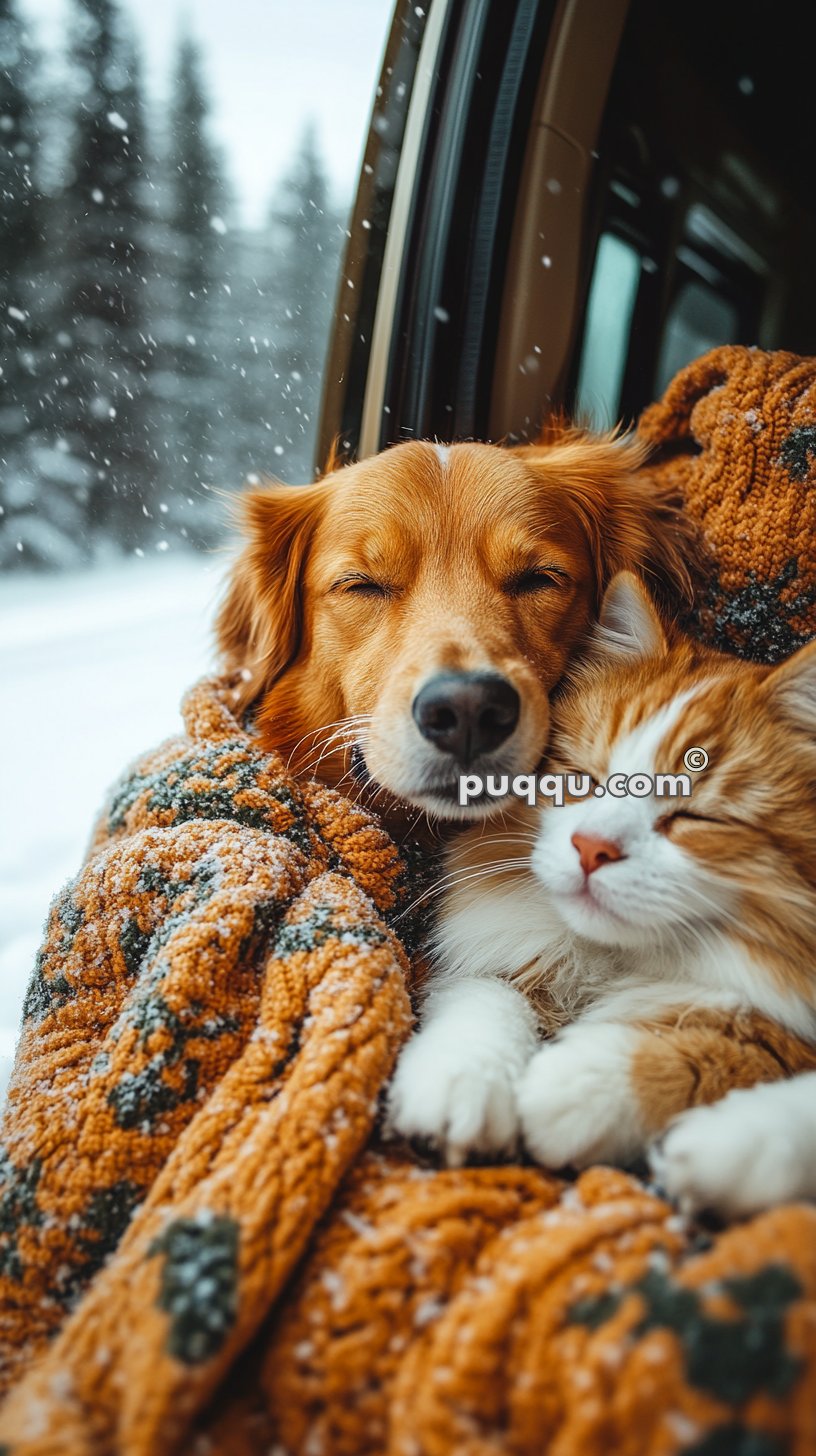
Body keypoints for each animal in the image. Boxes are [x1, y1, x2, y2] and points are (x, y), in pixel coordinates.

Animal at [384, 573, 816, 1211]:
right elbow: (489, 1004)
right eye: (583, 779)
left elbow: (722, 1056)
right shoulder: (493, 963)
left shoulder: (778, 1030)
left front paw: (573, 1091)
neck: (612, 966)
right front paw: (460, 1087)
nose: (591, 848)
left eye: (694, 816)